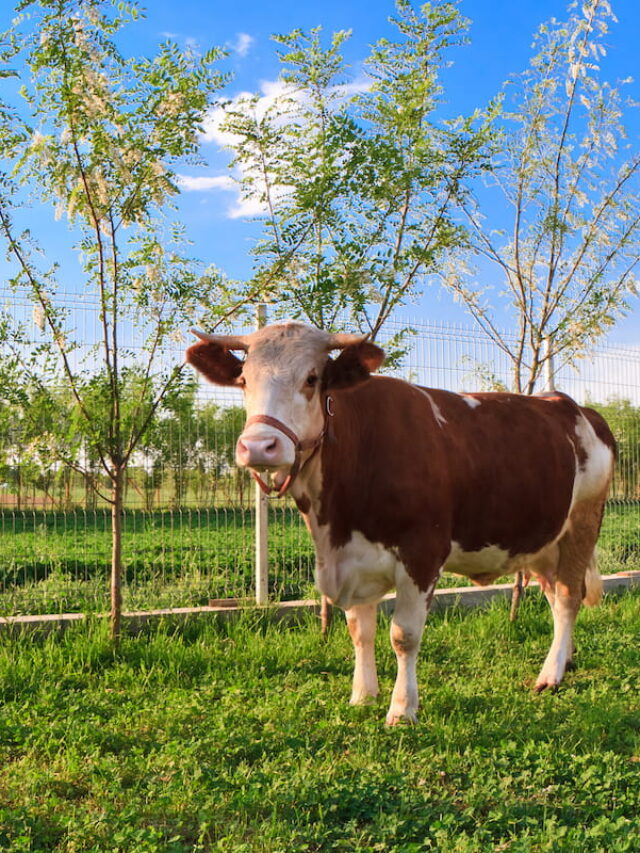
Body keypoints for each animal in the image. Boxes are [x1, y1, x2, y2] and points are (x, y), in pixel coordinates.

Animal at [186, 321, 616, 725]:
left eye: (311, 378)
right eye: (244, 380)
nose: (259, 446)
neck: (335, 521)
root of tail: (574, 406)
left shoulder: (422, 552)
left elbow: (403, 635)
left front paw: (402, 708)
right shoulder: (351, 558)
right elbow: (361, 631)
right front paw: (362, 696)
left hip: (583, 521)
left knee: (568, 596)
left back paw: (551, 675)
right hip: (543, 538)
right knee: (554, 594)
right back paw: (566, 659)